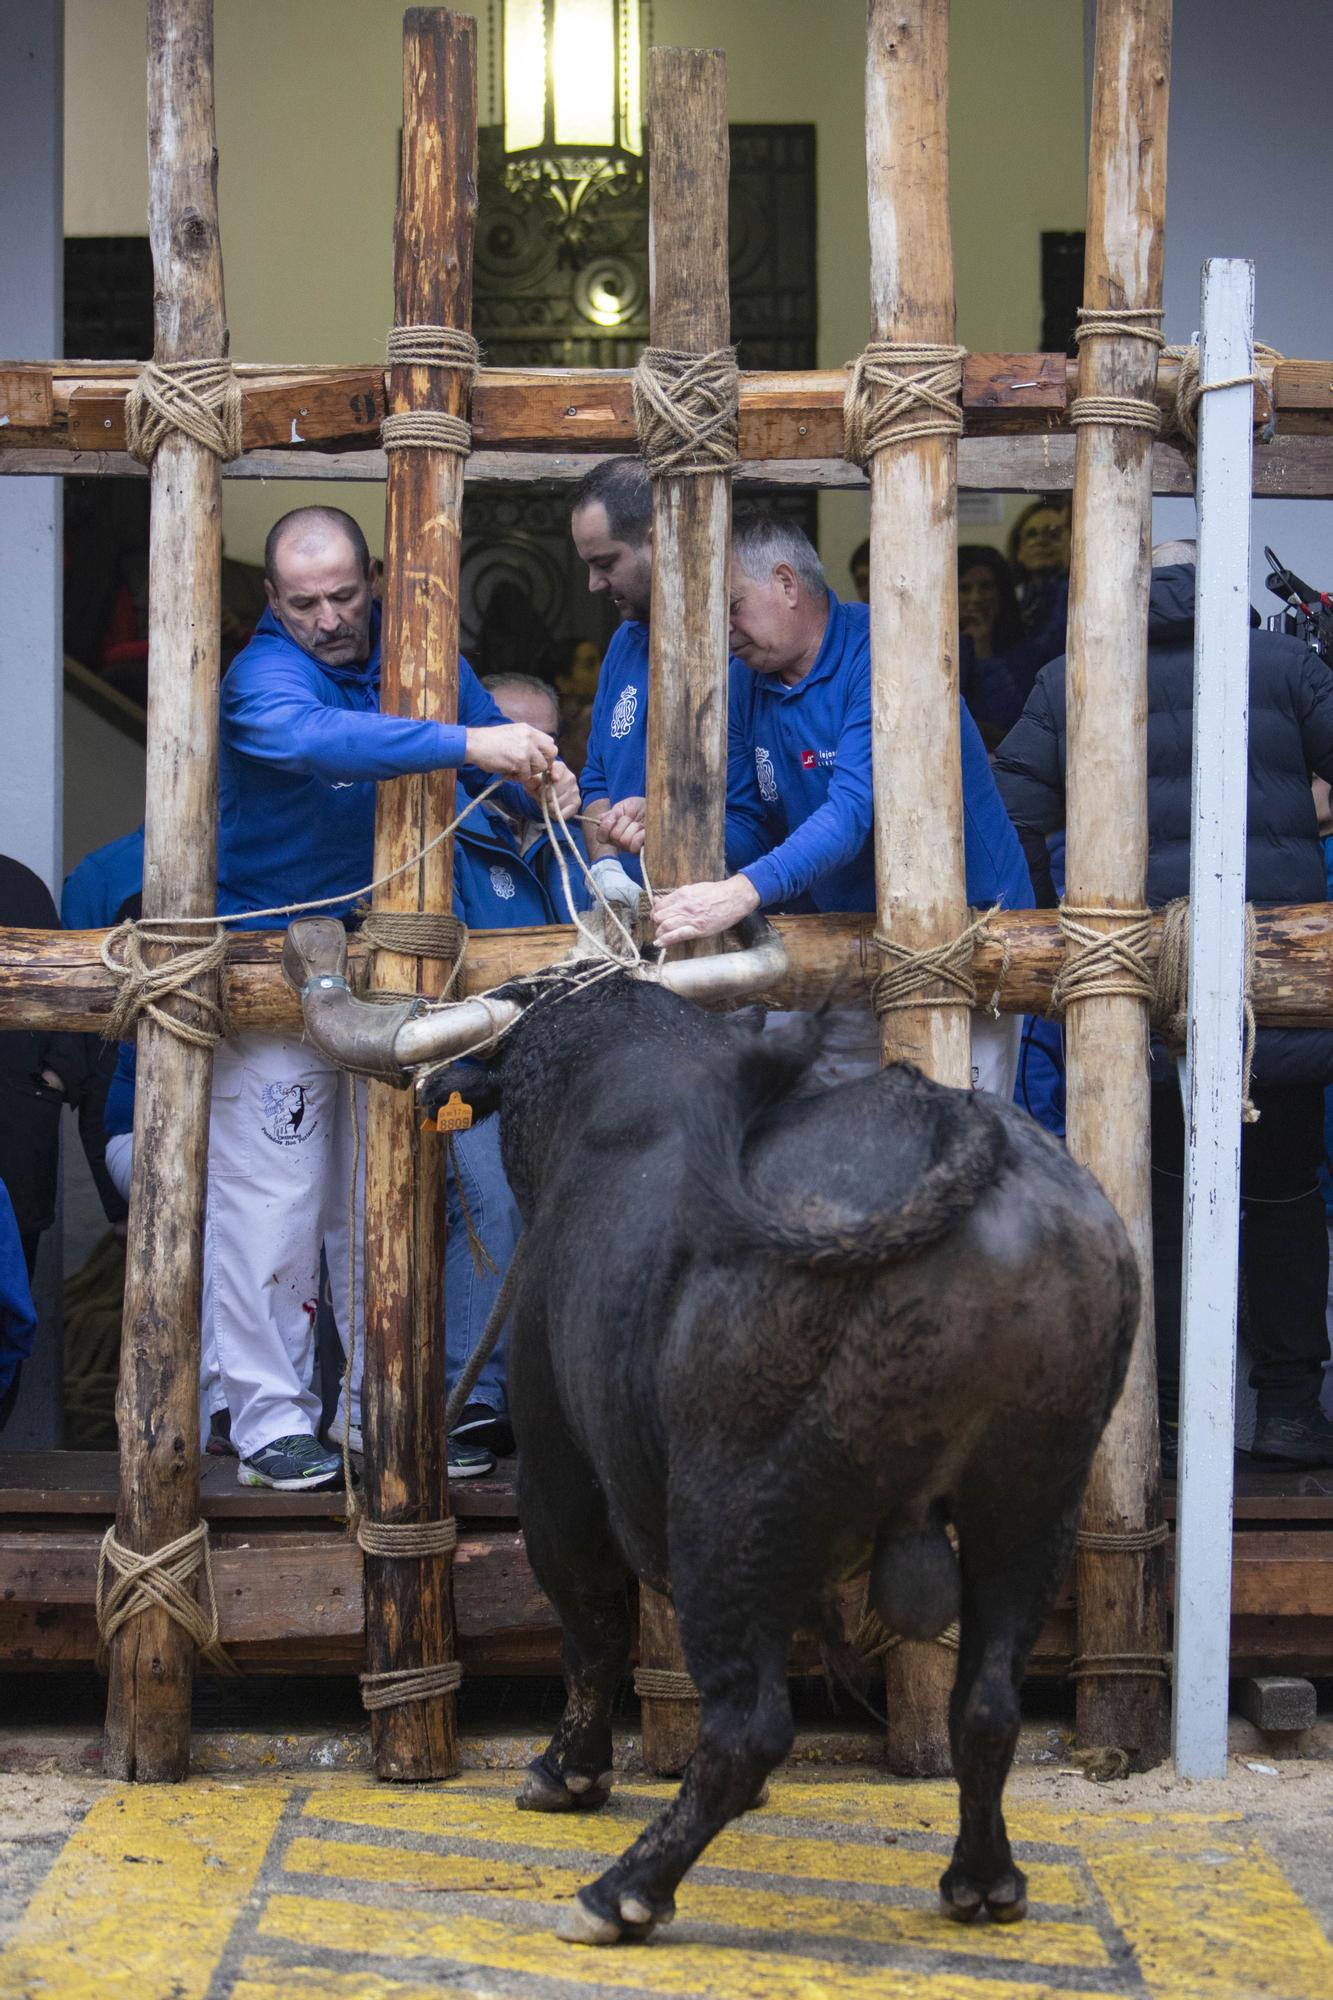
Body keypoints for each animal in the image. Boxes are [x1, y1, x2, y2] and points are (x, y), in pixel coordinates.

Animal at [418, 976, 1128, 1944]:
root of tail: (945, 1125)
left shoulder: (558, 1468)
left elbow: (593, 1629)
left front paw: (567, 1770)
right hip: (1030, 1503)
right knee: (985, 1705)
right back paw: (982, 1881)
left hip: (729, 1505)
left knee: (747, 1727)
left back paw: (621, 1891)